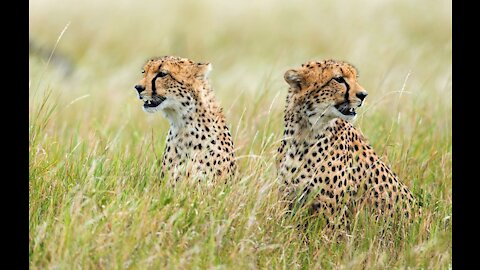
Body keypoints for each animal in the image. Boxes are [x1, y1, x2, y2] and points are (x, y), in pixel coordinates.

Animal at [276, 58, 418, 230]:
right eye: (339, 79)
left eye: (355, 78)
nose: (363, 95)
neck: (304, 134)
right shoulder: (288, 200)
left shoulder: (332, 215)